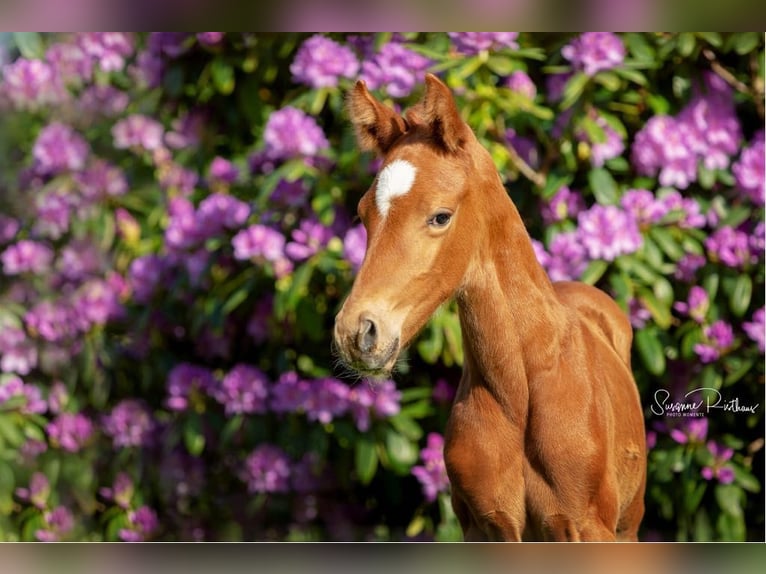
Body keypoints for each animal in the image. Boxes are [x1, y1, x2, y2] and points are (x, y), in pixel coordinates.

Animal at [333, 73, 646, 542]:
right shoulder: (486, 528)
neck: (522, 391)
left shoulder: (588, 527)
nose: (357, 332)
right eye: (363, 213)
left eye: (440, 216)